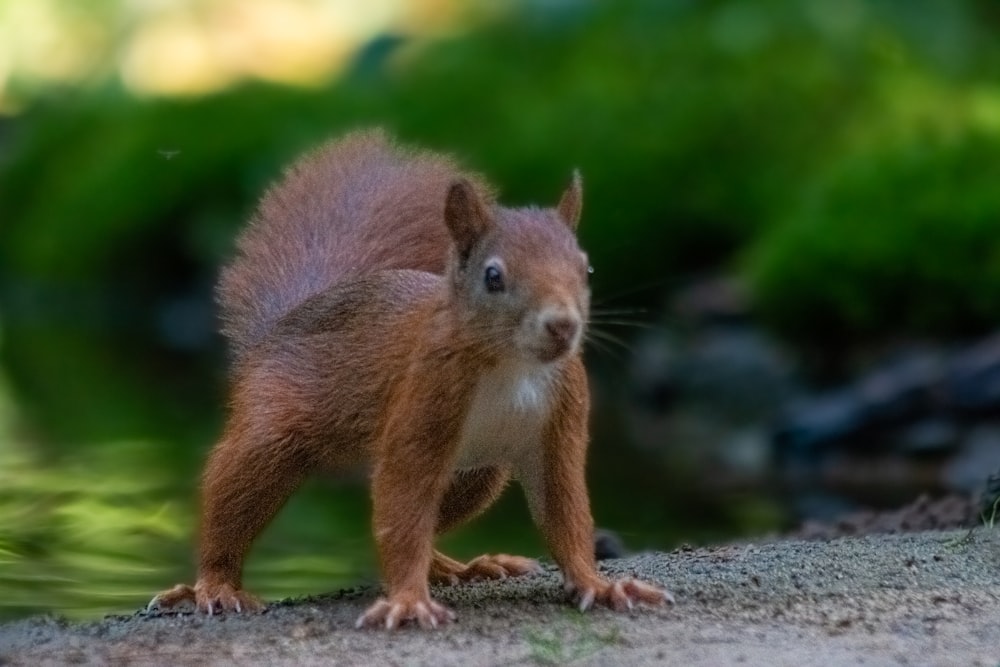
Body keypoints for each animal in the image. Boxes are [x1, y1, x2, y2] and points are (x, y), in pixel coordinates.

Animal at [150, 128, 672, 628]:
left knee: (411, 524)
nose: (562, 325)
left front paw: (599, 585)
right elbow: (404, 501)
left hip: (476, 475)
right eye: (493, 277)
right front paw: (407, 601)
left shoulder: (560, 423)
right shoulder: (425, 398)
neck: (514, 367)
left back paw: (458, 567)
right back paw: (215, 585)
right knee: (239, 496)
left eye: (587, 269)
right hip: (271, 428)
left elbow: (565, 513)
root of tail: (282, 324)